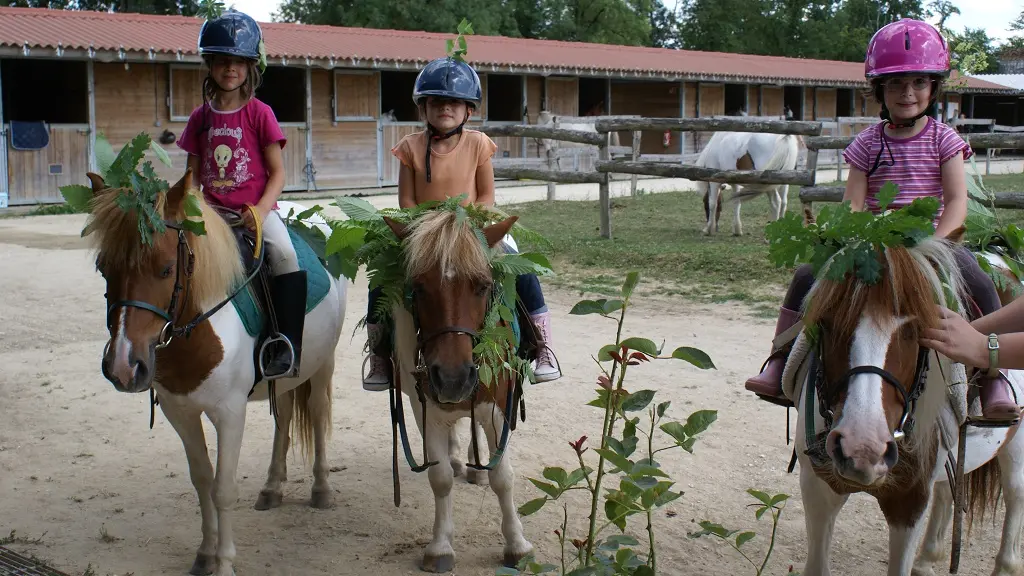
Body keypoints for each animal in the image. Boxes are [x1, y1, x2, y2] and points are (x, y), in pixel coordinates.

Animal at [380, 210, 532, 569]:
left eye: (483, 286)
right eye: (418, 288)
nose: (453, 378)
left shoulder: (498, 409)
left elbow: (502, 477)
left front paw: (516, 544)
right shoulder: (425, 410)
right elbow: (441, 478)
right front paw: (440, 546)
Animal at [778, 230, 1024, 569]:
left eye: (916, 330)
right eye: (826, 322)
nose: (862, 449)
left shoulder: (910, 503)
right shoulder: (817, 488)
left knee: (1014, 499)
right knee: (947, 491)